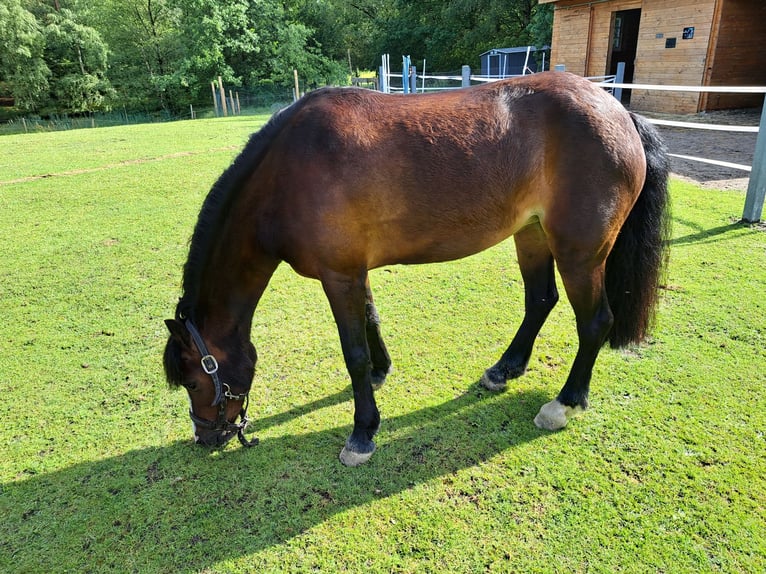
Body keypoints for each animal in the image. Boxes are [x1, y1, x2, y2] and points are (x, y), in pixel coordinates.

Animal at [164, 72, 672, 468]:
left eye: (193, 380)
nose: (205, 437)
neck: (287, 175)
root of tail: (619, 111)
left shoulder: (338, 277)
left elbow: (353, 353)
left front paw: (363, 432)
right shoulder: (353, 272)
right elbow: (370, 322)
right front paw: (381, 372)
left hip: (579, 253)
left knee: (595, 322)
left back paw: (564, 403)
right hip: (531, 234)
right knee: (540, 300)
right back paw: (504, 370)